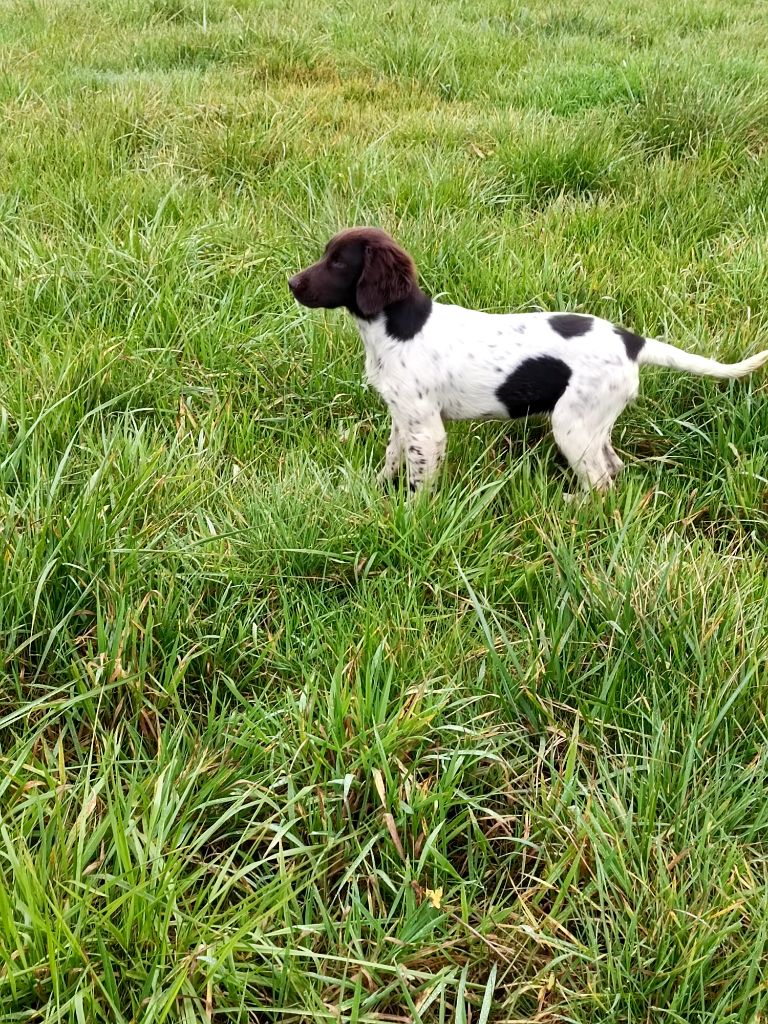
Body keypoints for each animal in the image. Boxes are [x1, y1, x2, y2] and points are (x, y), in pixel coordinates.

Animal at [290, 228, 768, 491]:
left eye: (338, 263)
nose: (292, 283)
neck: (396, 328)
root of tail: (632, 340)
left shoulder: (426, 429)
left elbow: (418, 479)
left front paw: (410, 517)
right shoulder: (403, 417)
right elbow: (392, 458)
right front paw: (375, 492)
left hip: (572, 425)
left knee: (601, 483)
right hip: (593, 423)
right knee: (612, 468)